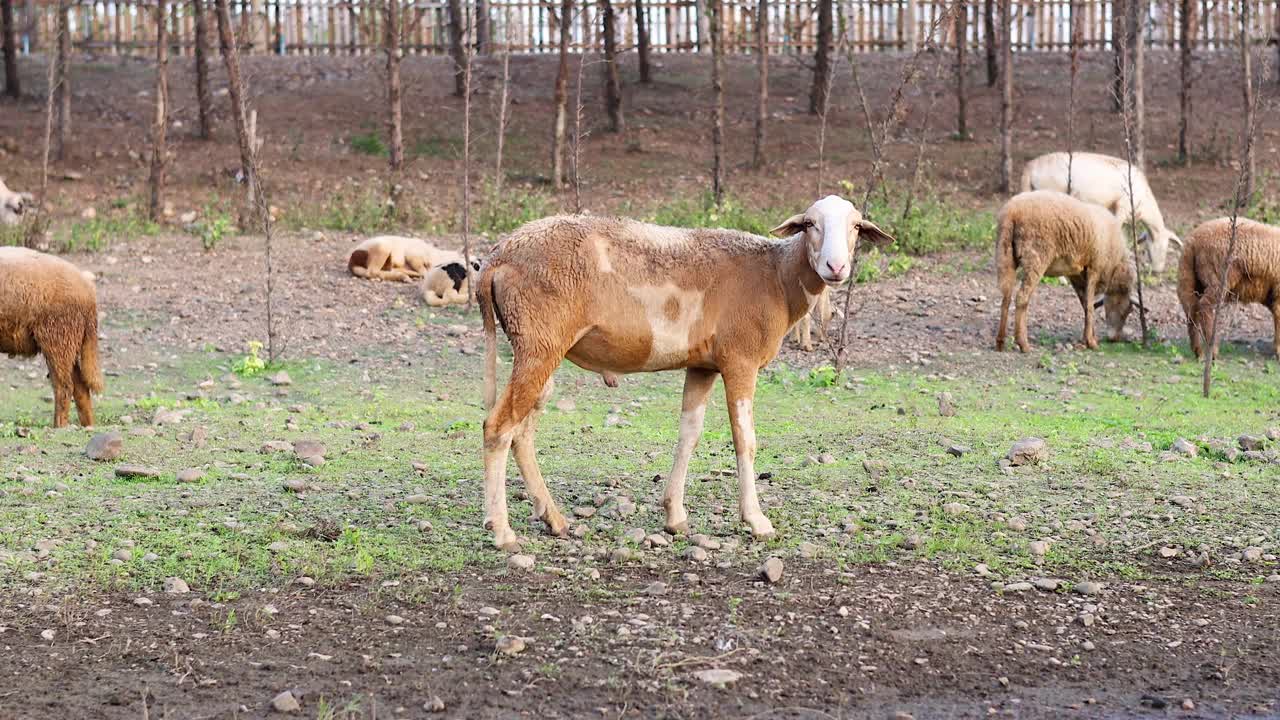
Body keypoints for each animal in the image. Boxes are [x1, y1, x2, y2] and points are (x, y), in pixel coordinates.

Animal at [0, 245, 104, 425]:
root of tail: (89, 291)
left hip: (58, 335)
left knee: (64, 386)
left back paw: (59, 425)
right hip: (67, 340)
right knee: (80, 387)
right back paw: (88, 425)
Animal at [476, 193, 896, 545]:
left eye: (856, 226)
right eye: (810, 224)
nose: (836, 266)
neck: (776, 276)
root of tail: (498, 256)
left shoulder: (702, 365)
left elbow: (688, 435)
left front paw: (675, 516)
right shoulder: (740, 361)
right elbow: (745, 440)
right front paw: (756, 520)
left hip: (538, 348)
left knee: (522, 432)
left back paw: (554, 519)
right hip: (537, 343)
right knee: (498, 428)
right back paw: (503, 532)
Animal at [993, 188, 1136, 351]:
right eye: (1127, 311)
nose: (1115, 339)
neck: (1115, 265)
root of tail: (1012, 212)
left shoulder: (1077, 275)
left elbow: (1085, 305)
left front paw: (1087, 339)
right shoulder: (1094, 268)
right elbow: (1090, 307)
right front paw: (1092, 342)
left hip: (1005, 254)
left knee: (1006, 297)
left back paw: (1000, 342)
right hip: (1036, 257)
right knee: (1022, 297)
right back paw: (1023, 344)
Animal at [1177, 213, 1280, 356]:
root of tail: (1192, 241)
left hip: (1190, 276)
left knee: (1191, 309)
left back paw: (1198, 351)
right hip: (1220, 275)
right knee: (1204, 306)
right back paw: (1213, 350)